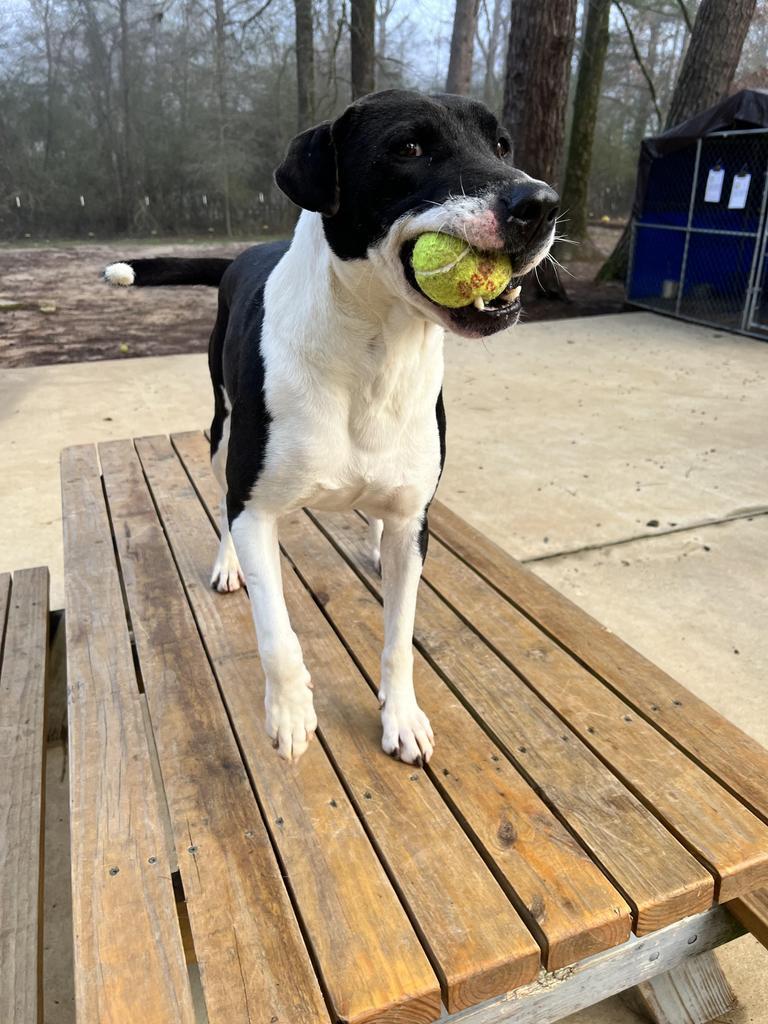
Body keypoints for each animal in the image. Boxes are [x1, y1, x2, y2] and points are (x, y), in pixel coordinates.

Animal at [103, 92, 561, 770]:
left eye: (502, 145)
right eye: (408, 147)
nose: (540, 204)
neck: (376, 353)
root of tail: (243, 254)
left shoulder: (413, 517)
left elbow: (400, 635)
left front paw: (402, 717)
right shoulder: (257, 508)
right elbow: (276, 631)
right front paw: (291, 713)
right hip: (221, 431)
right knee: (221, 497)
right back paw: (229, 564)